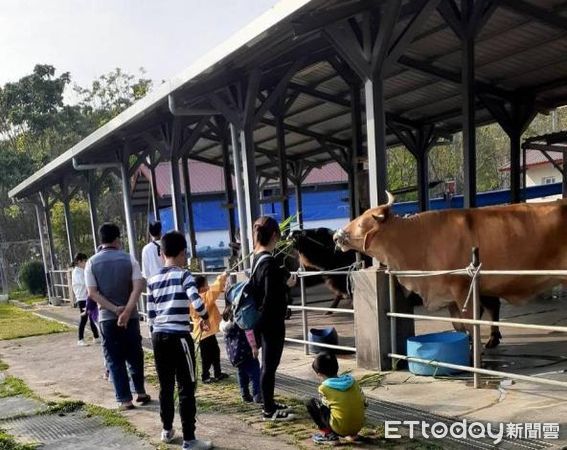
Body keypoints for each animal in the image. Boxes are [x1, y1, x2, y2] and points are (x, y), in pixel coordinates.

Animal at [332, 191, 567, 348]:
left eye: (361, 223)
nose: (336, 236)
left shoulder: (463, 290)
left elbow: (471, 321)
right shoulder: (449, 296)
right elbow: (458, 326)